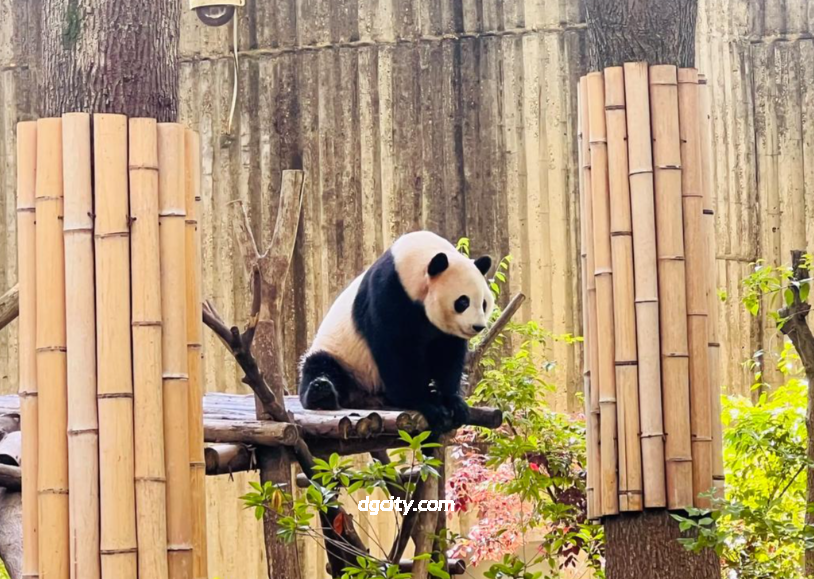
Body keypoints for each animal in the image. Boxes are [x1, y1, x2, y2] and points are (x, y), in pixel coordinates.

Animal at [298, 230, 495, 432]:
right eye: (463, 302)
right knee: (321, 365)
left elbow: (447, 355)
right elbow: (397, 353)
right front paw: (425, 404)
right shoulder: (388, 295)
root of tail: (364, 396)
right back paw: (322, 392)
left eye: (484, 303)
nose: (478, 326)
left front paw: (453, 402)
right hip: (342, 356)